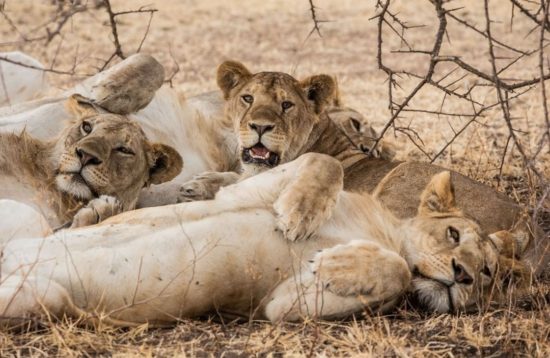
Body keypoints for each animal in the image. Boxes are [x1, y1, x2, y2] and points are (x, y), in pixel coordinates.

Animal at [0, 152, 532, 326]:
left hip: (38, 299)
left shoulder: (281, 306)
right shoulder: (246, 190)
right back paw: (98, 210)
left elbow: (399, 274)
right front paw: (298, 216)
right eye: (452, 233)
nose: (463, 275)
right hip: (22, 221)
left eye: (487, 272)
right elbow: (323, 160)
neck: (378, 231)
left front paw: (335, 264)